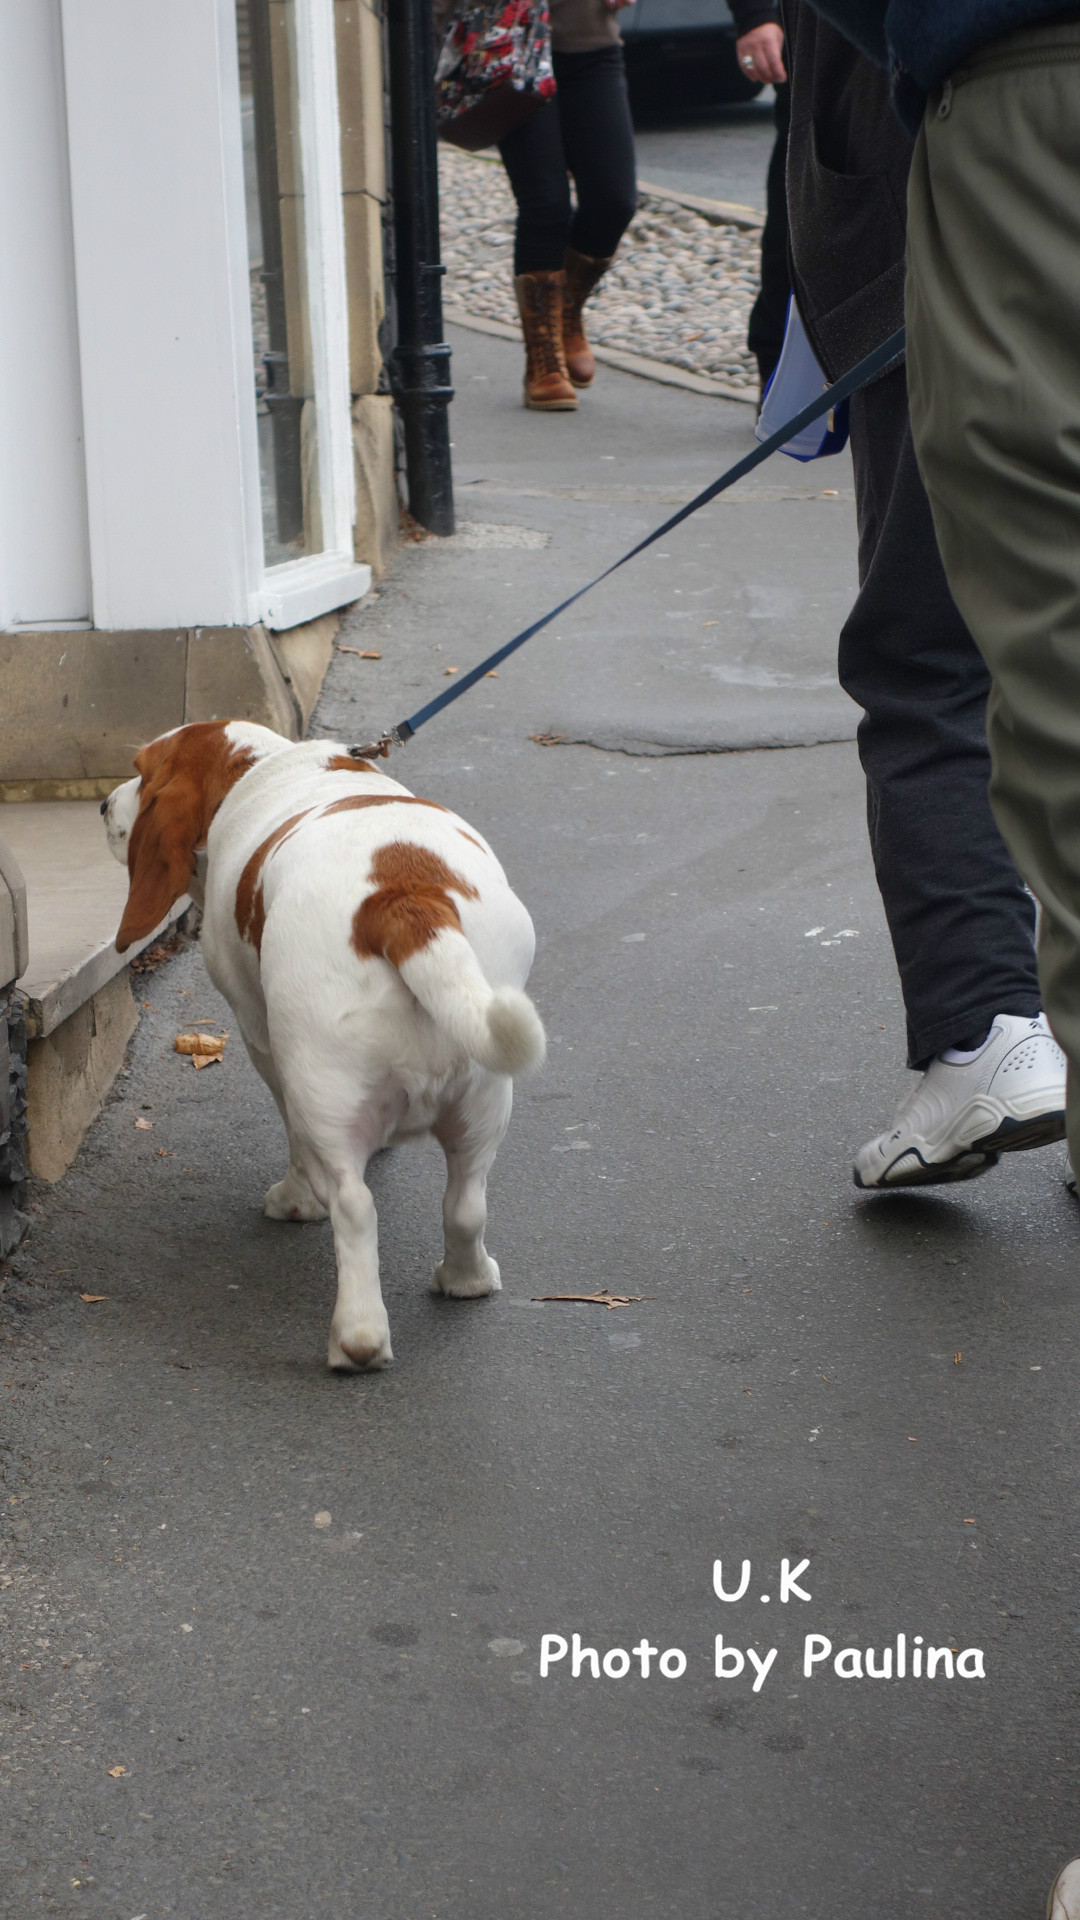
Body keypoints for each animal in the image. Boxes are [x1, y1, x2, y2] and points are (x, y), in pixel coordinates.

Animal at [105, 721, 541, 1367]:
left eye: (141, 771)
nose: (102, 806)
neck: (262, 767)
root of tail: (403, 898)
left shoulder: (262, 1038)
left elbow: (294, 1137)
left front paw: (297, 1199)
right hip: (486, 1094)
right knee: (466, 1202)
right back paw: (467, 1278)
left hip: (320, 1082)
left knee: (354, 1206)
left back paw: (358, 1338)